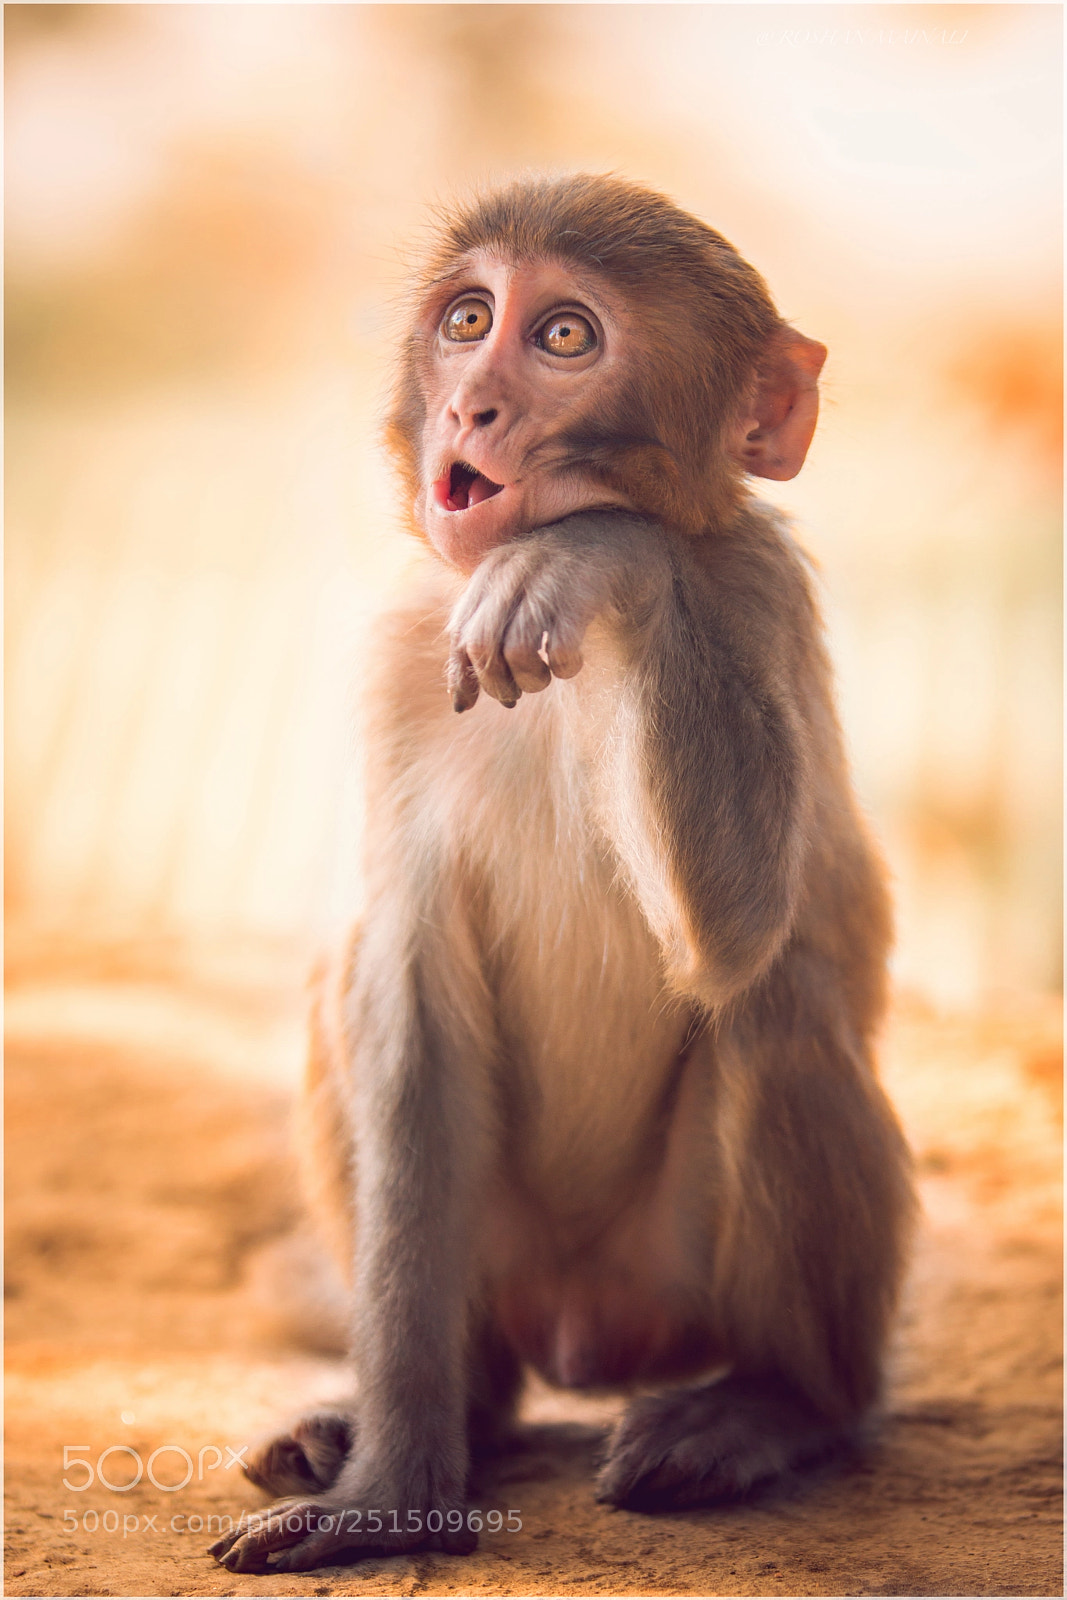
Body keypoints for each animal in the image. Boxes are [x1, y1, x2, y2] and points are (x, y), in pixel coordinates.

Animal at [210, 173, 914, 1574]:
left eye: (564, 338)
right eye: (469, 318)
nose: (470, 406)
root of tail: (588, 1329)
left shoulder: (755, 591)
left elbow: (733, 935)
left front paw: (595, 556)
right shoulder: (399, 645)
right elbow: (407, 996)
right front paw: (391, 1482)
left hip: (674, 1273)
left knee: (778, 1010)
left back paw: (775, 1405)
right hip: (508, 1262)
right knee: (347, 984)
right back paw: (438, 1414)